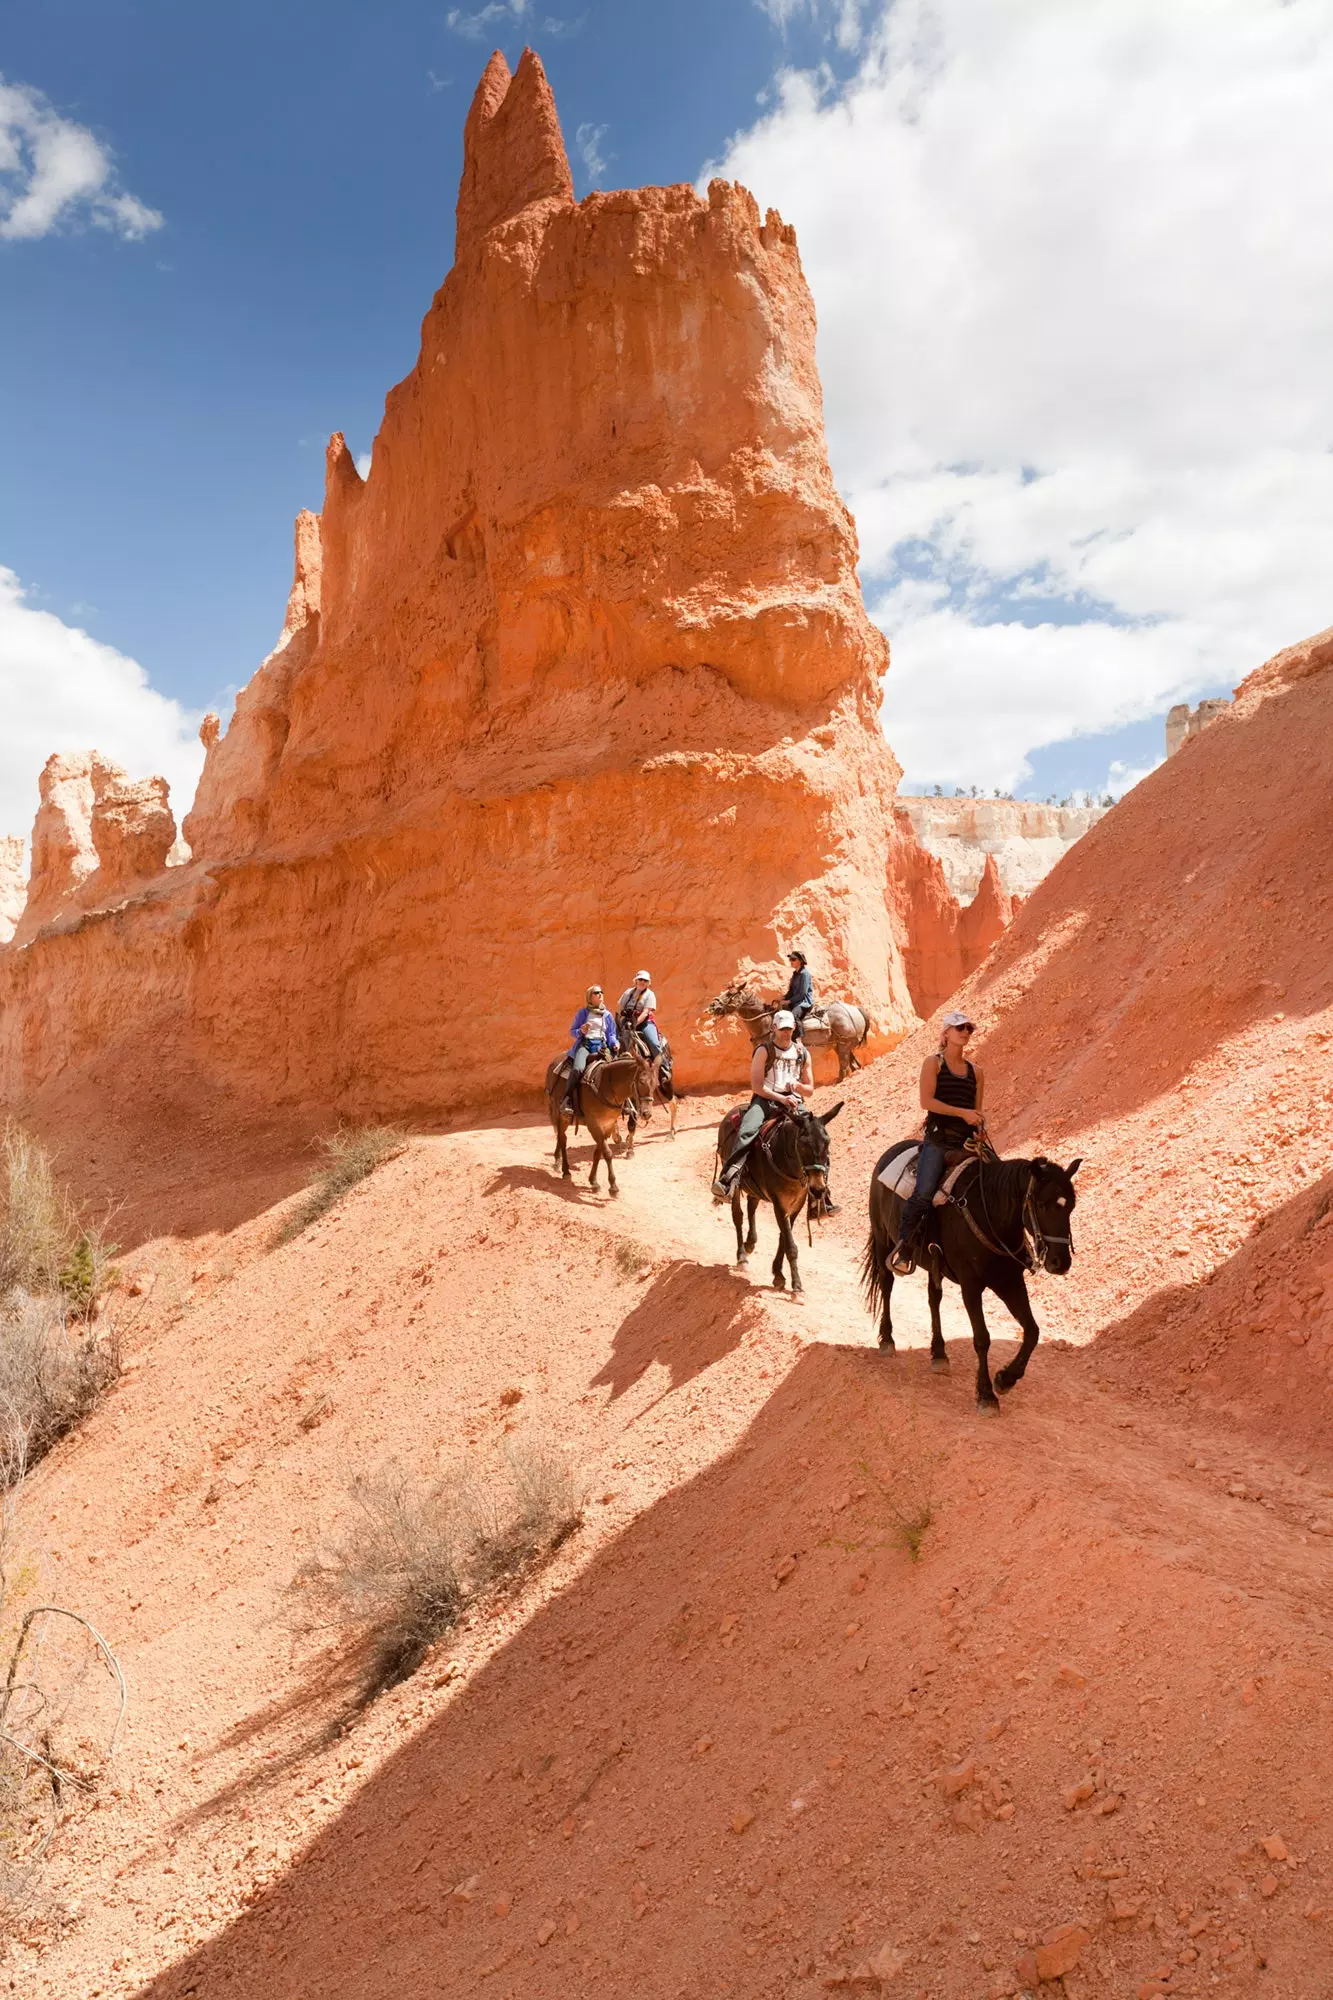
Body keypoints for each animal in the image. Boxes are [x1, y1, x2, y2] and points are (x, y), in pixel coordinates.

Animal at [544, 1056, 640, 1192]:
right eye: (641, 1082)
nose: (646, 1112)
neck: (604, 1087)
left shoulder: (607, 1125)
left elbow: (598, 1152)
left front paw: (594, 1181)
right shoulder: (594, 1125)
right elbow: (606, 1153)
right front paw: (613, 1187)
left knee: (561, 1137)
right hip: (559, 1114)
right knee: (562, 1139)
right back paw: (565, 1170)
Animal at [704, 980, 872, 1080]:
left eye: (731, 994)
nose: (712, 1005)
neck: (766, 1024)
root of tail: (855, 1010)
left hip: (843, 1046)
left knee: (844, 1068)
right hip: (841, 1047)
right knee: (852, 1066)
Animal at [716, 1096, 840, 1296]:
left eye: (827, 1142)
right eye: (802, 1144)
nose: (818, 1189)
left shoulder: (796, 1204)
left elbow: (783, 1237)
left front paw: (778, 1274)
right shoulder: (779, 1204)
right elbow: (790, 1244)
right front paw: (796, 1285)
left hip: (754, 1188)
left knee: (751, 1207)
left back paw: (750, 1243)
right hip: (734, 1183)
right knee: (738, 1216)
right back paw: (742, 1256)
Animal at [860, 1144, 1080, 1408]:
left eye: (1071, 1206)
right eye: (1042, 1204)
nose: (1060, 1263)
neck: (990, 1214)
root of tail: (892, 1151)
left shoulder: (1009, 1282)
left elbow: (1032, 1331)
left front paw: (1006, 1379)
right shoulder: (971, 1286)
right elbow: (982, 1338)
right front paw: (986, 1394)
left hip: (933, 1264)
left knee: (934, 1298)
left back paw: (939, 1353)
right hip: (882, 1239)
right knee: (887, 1284)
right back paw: (887, 1339)